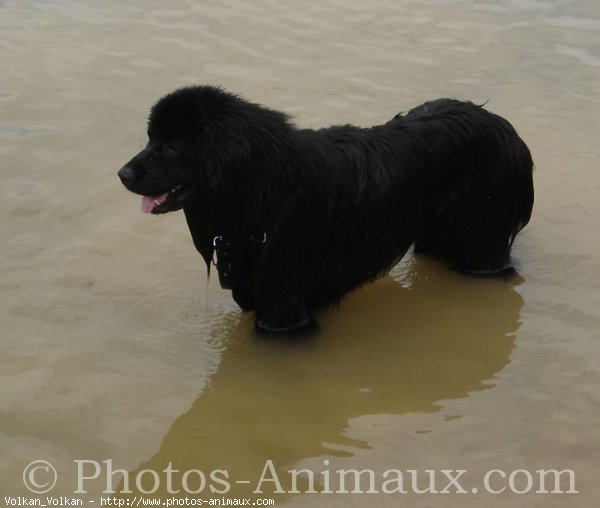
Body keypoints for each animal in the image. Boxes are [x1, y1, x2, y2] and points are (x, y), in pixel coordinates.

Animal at [118, 86, 536, 334]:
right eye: (150, 138)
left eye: (173, 146)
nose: (122, 174)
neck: (262, 189)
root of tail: (508, 131)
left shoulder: (283, 301)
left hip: (482, 241)